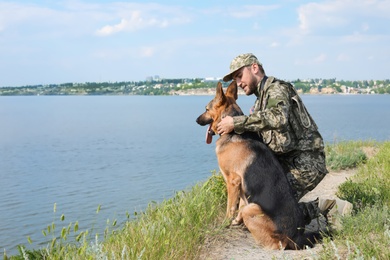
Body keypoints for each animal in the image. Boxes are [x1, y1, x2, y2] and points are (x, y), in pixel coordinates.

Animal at [195, 80, 316, 250]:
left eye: (206, 109)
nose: (196, 120)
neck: (232, 131)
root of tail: (294, 238)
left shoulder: (232, 182)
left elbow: (230, 207)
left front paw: (225, 223)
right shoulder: (241, 187)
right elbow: (238, 206)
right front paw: (235, 222)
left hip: (252, 208)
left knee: (274, 245)